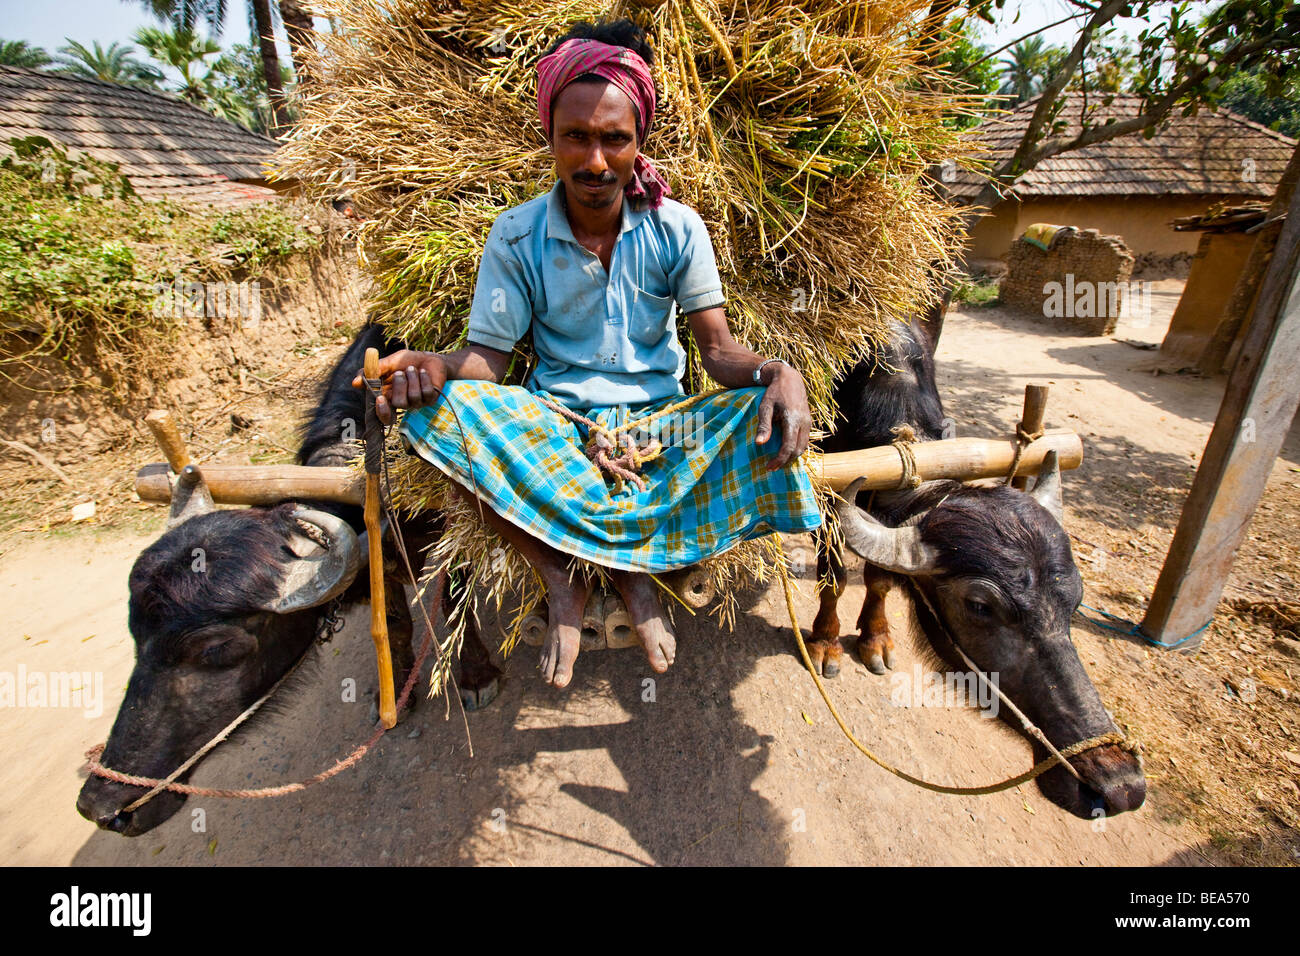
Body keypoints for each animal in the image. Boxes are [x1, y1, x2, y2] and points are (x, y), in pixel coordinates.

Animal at [77, 325, 501, 832]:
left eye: (216, 650)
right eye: (135, 636)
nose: (102, 807)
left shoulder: (457, 539)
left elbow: (458, 606)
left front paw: (476, 678)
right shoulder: (382, 564)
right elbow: (396, 626)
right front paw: (396, 691)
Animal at [816, 295, 1144, 816]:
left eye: (1075, 599)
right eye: (979, 606)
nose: (1119, 784)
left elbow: (881, 577)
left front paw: (876, 638)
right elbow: (834, 575)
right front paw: (827, 643)